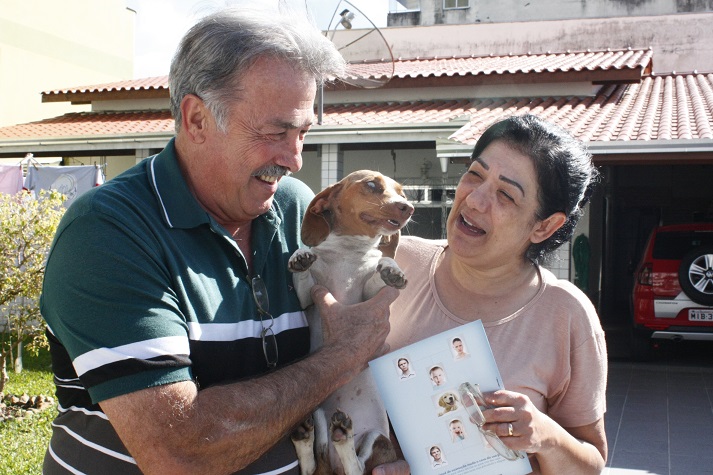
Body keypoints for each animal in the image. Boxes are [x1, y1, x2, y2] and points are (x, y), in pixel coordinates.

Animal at [288, 170, 414, 475]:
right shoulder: (307, 298)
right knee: (313, 466)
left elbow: (377, 277)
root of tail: (332, 468)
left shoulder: (368, 295)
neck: (348, 252)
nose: (408, 208)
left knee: (355, 466)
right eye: (371, 184)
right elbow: (304, 277)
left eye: (402, 193)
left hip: (377, 440)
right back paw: (307, 439)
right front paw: (300, 256)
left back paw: (342, 438)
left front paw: (391, 269)